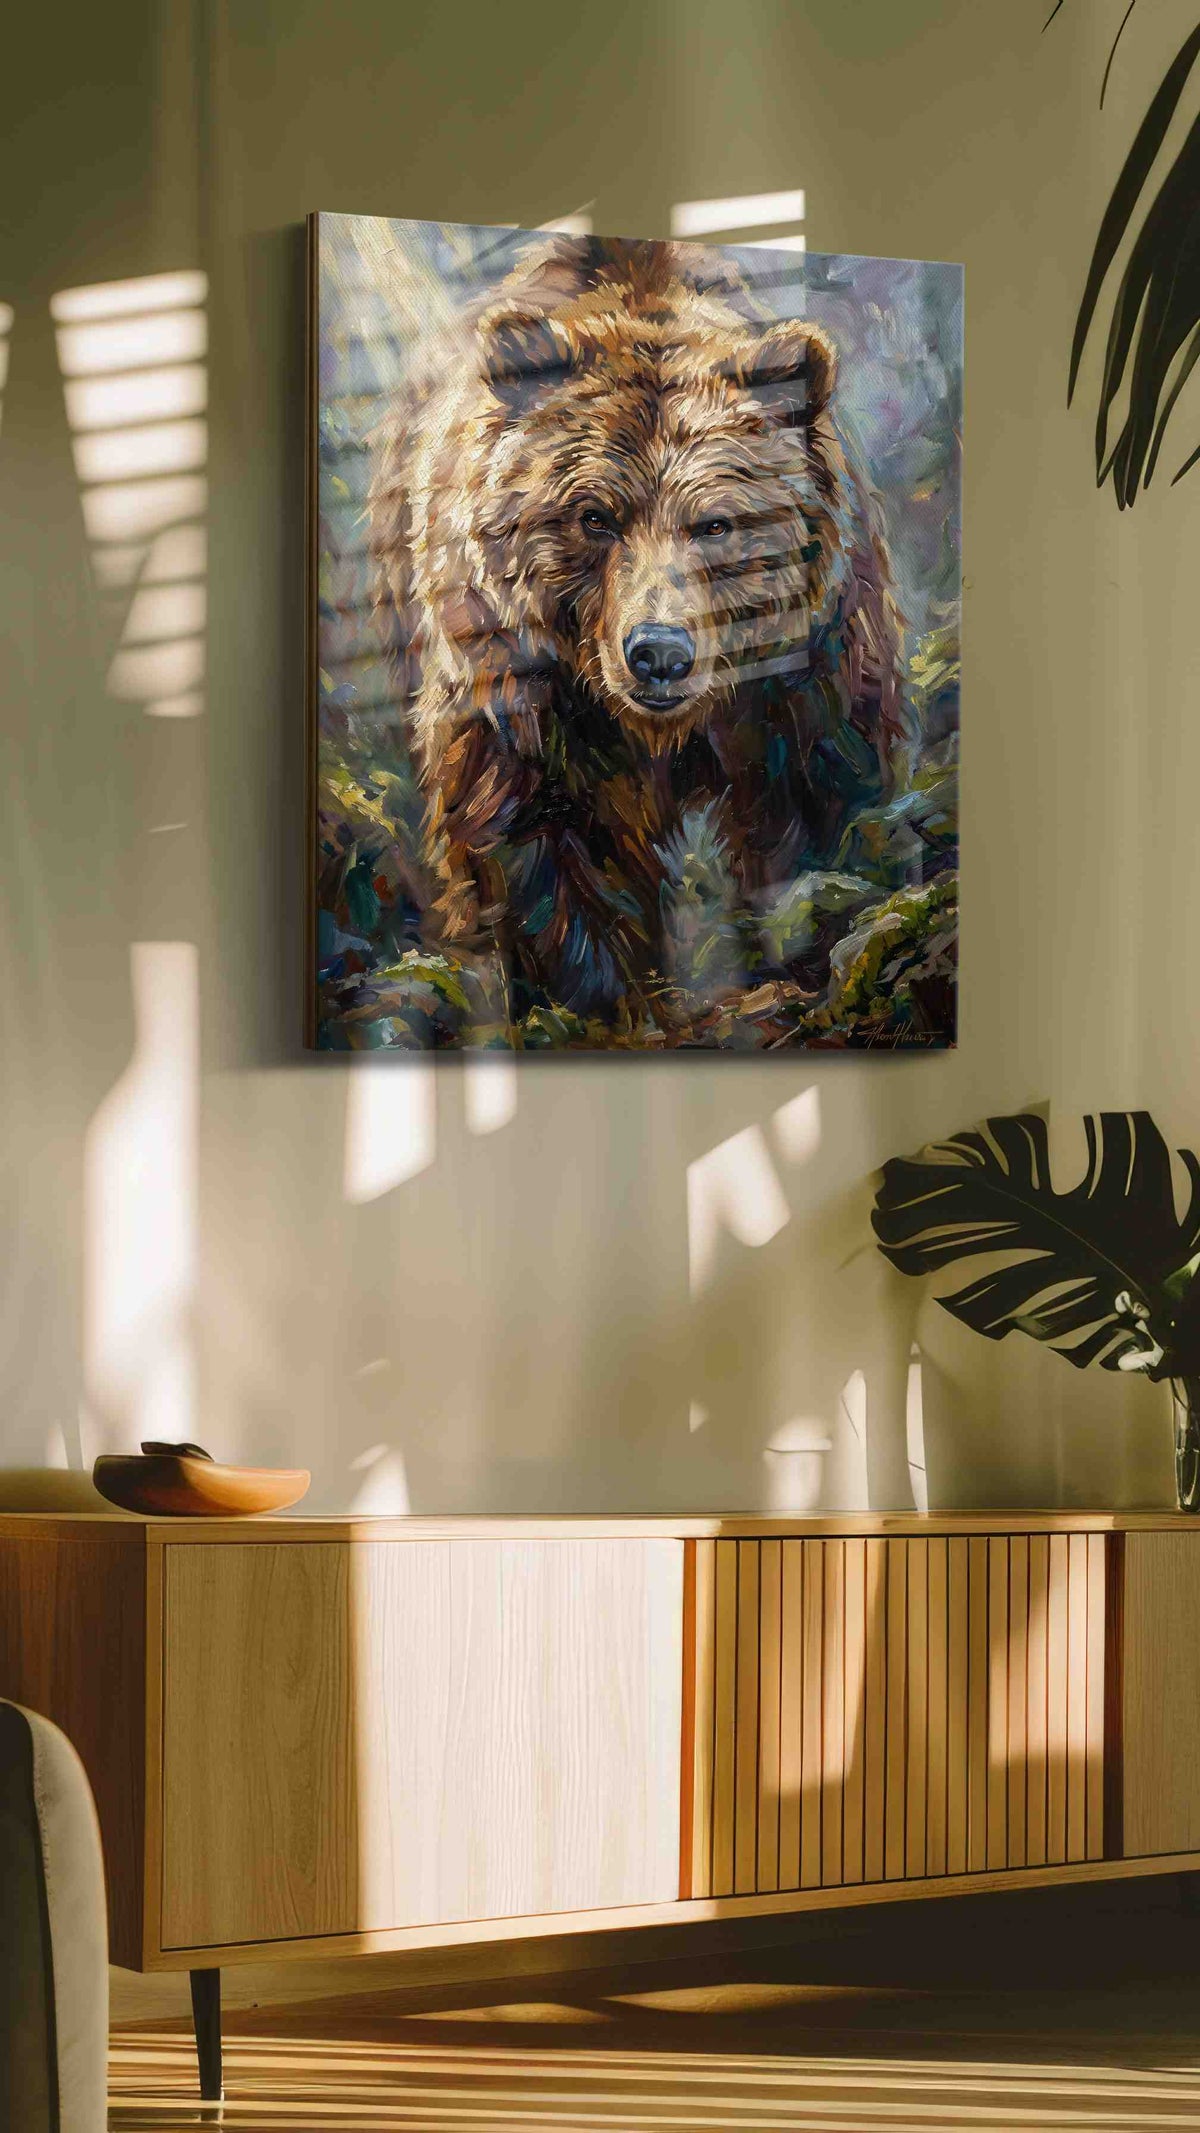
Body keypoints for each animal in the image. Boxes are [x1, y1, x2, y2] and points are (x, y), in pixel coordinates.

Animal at [369, 235, 904, 1029]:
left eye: (715, 523)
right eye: (594, 515)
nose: (659, 653)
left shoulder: (802, 670)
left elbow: (817, 799)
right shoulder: (527, 692)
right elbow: (540, 836)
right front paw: (597, 998)